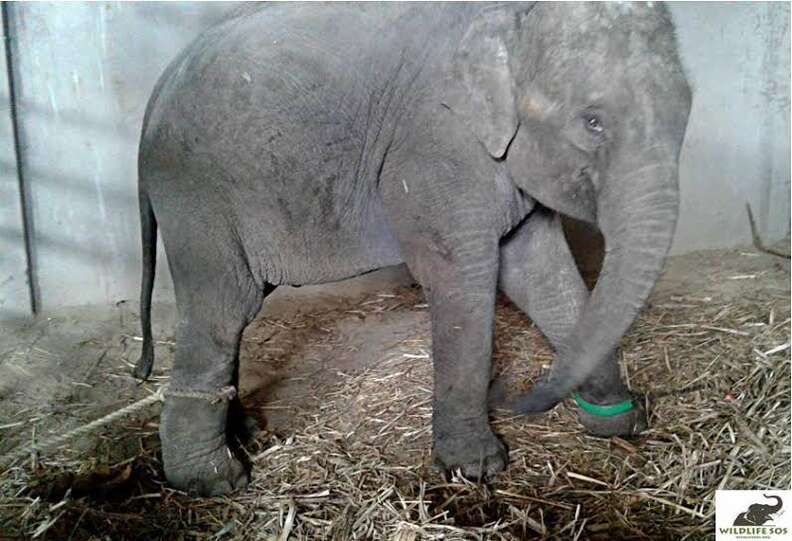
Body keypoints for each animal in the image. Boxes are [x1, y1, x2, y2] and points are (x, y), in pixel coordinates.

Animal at [133, 2, 688, 496]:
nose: (517, 397)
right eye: (592, 122)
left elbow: (541, 271)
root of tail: (158, 86)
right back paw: (215, 480)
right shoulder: (437, 149)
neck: (512, 17)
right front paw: (476, 470)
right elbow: (464, 276)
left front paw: (618, 422)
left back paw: (244, 435)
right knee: (224, 308)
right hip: (198, 193)